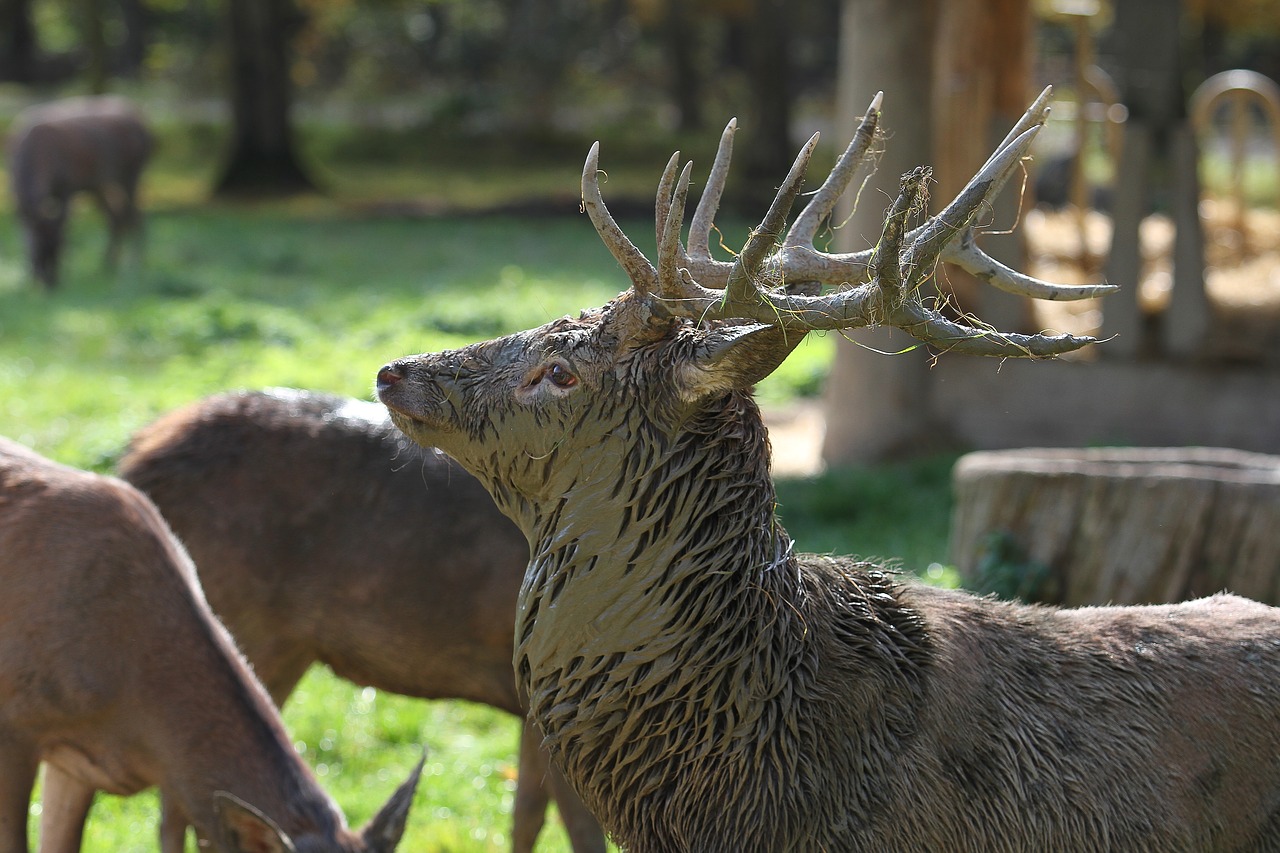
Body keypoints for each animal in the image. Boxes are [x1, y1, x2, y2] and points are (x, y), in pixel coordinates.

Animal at [5, 93, 152, 285]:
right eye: (40, 249)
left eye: (59, 247)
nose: (52, 283)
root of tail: (143, 122)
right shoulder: (15, 190)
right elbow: (24, 231)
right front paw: (28, 278)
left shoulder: (67, 184)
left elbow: (64, 221)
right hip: (101, 184)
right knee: (116, 217)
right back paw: (107, 265)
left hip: (132, 170)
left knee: (135, 215)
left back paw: (133, 265)